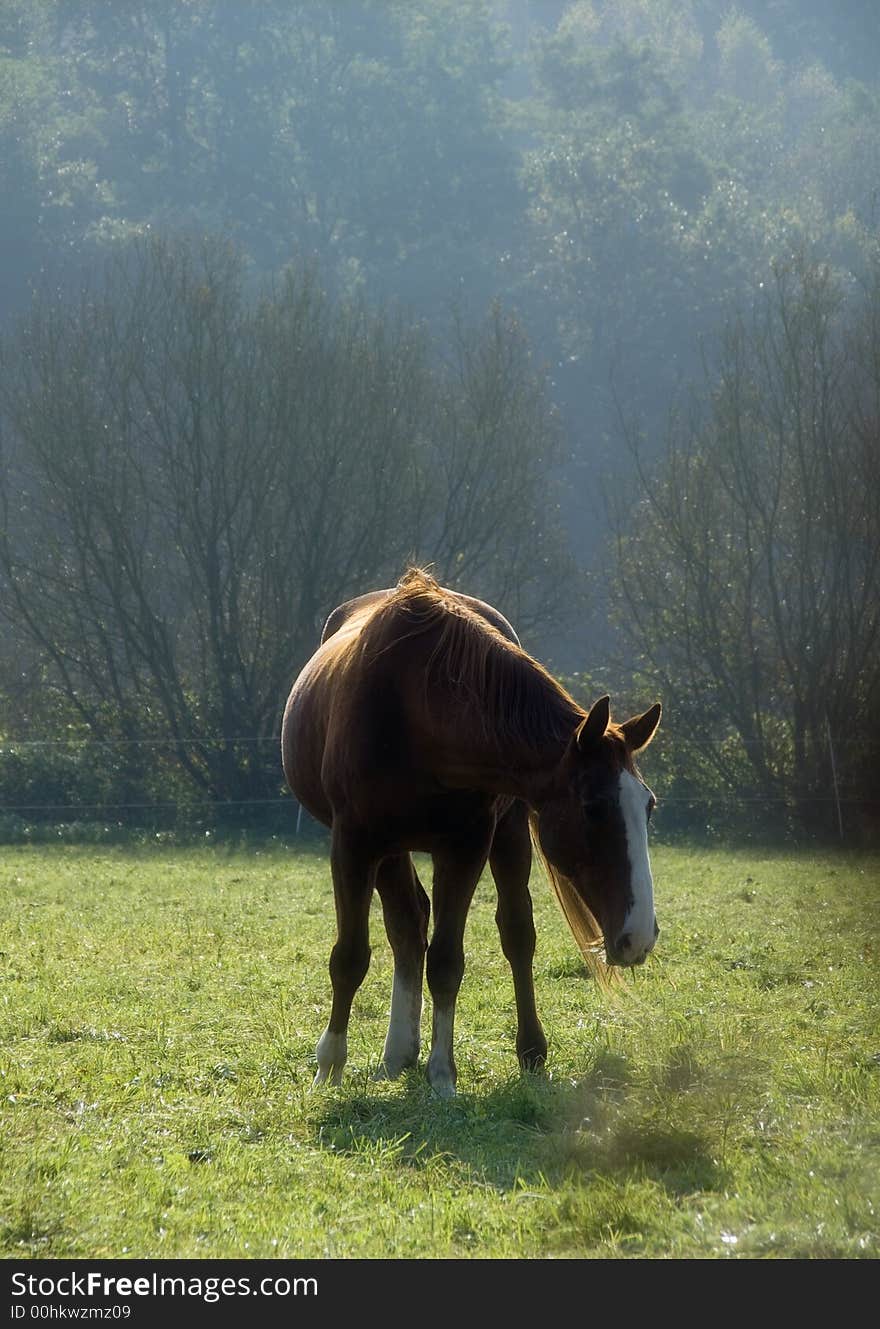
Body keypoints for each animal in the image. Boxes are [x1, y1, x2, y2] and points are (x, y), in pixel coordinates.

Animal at [283, 566, 661, 1095]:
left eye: (647, 806)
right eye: (595, 807)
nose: (639, 936)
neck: (414, 709)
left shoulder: (465, 846)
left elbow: (446, 961)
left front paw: (442, 1074)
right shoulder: (354, 844)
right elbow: (351, 957)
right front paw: (329, 1065)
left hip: (507, 834)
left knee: (513, 933)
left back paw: (525, 1050)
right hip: (389, 849)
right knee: (406, 926)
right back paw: (396, 1052)